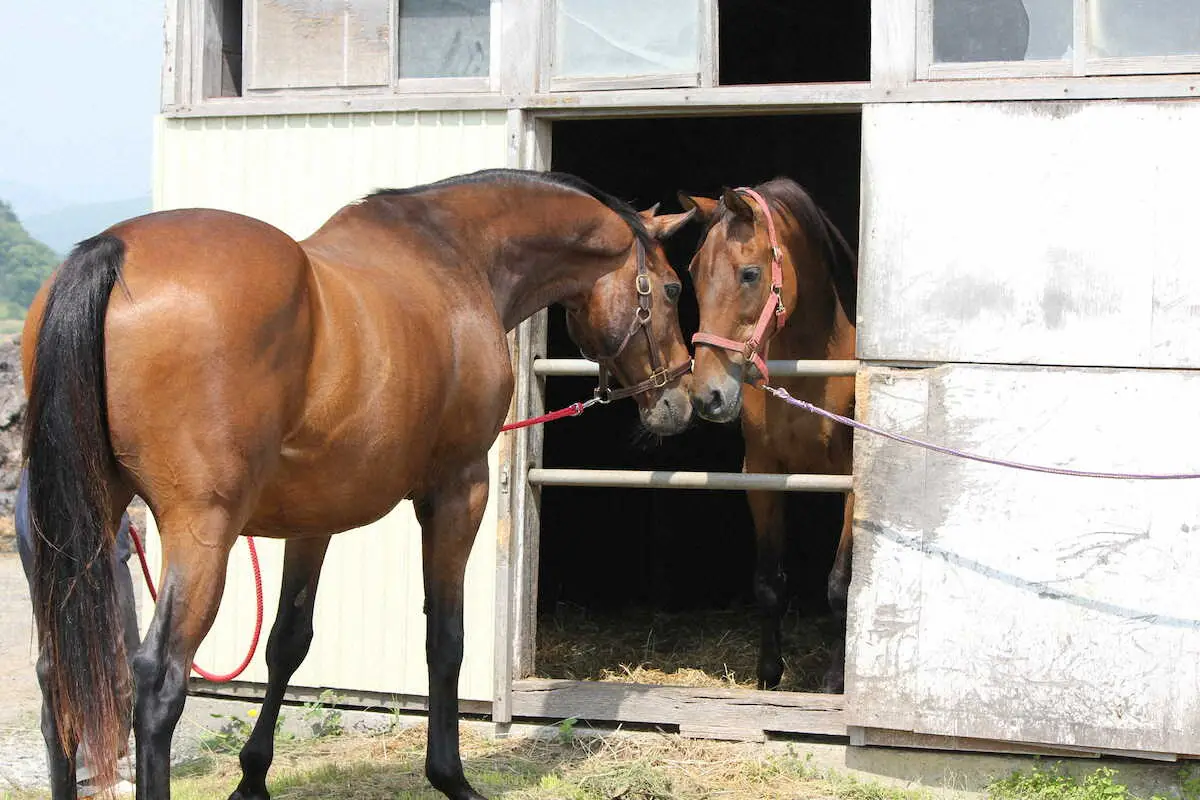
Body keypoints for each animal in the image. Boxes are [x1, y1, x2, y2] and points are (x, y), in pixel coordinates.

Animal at [21, 165, 696, 796]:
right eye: (670, 288)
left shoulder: (312, 521)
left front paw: (253, 777)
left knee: (57, 681)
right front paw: (450, 776)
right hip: (201, 534)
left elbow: (288, 641)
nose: (681, 401)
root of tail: (114, 249)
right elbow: (445, 637)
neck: (454, 256)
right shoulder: (458, 491)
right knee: (158, 682)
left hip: (75, 531)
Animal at [681, 178, 859, 690]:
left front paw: (833, 683)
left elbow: (841, 583)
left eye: (750, 274)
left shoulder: (851, 483)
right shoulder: (762, 473)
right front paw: (767, 676)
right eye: (693, 274)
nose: (708, 396)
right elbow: (768, 584)